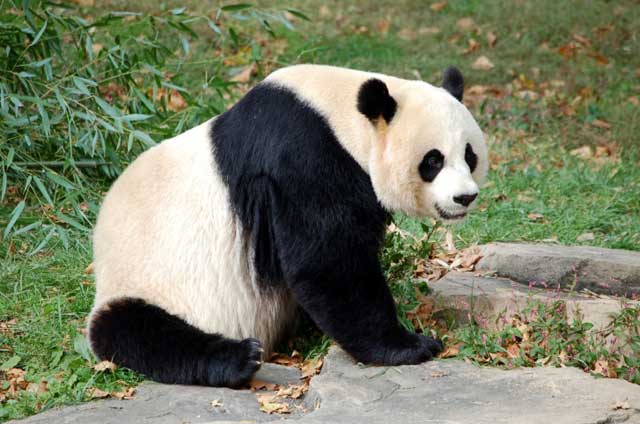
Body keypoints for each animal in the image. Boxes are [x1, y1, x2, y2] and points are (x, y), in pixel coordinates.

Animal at [88, 64, 488, 388]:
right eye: (433, 161)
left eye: (470, 155)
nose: (465, 197)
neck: (341, 116)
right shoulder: (303, 157)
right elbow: (329, 261)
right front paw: (410, 345)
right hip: (149, 282)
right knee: (141, 332)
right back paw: (239, 358)